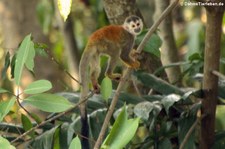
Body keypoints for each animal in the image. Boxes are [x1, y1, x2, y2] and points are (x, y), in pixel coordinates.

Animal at [78, 15, 142, 148]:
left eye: (138, 24)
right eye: (133, 26)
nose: (137, 28)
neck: (128, 31)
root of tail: (91, 40)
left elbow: (126, 54)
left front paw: (134, 53)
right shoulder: (129, 39)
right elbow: (123, 56)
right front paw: (133, 63)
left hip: (96, 51)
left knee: (96, 67)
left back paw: (94, 82)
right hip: (105, 44)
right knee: (116, 52)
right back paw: (109, 74)